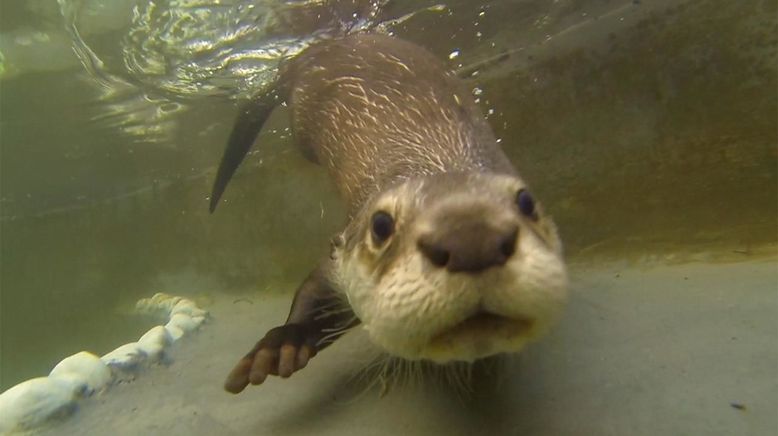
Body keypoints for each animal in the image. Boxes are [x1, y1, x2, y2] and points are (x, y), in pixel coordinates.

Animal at [209, 35, 568, 396]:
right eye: (381, 225)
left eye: (527, 202)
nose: (472, 241)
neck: (435, 159)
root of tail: (310, 54)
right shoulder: (339, 254)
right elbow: (315, 291)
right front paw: (281, 345)